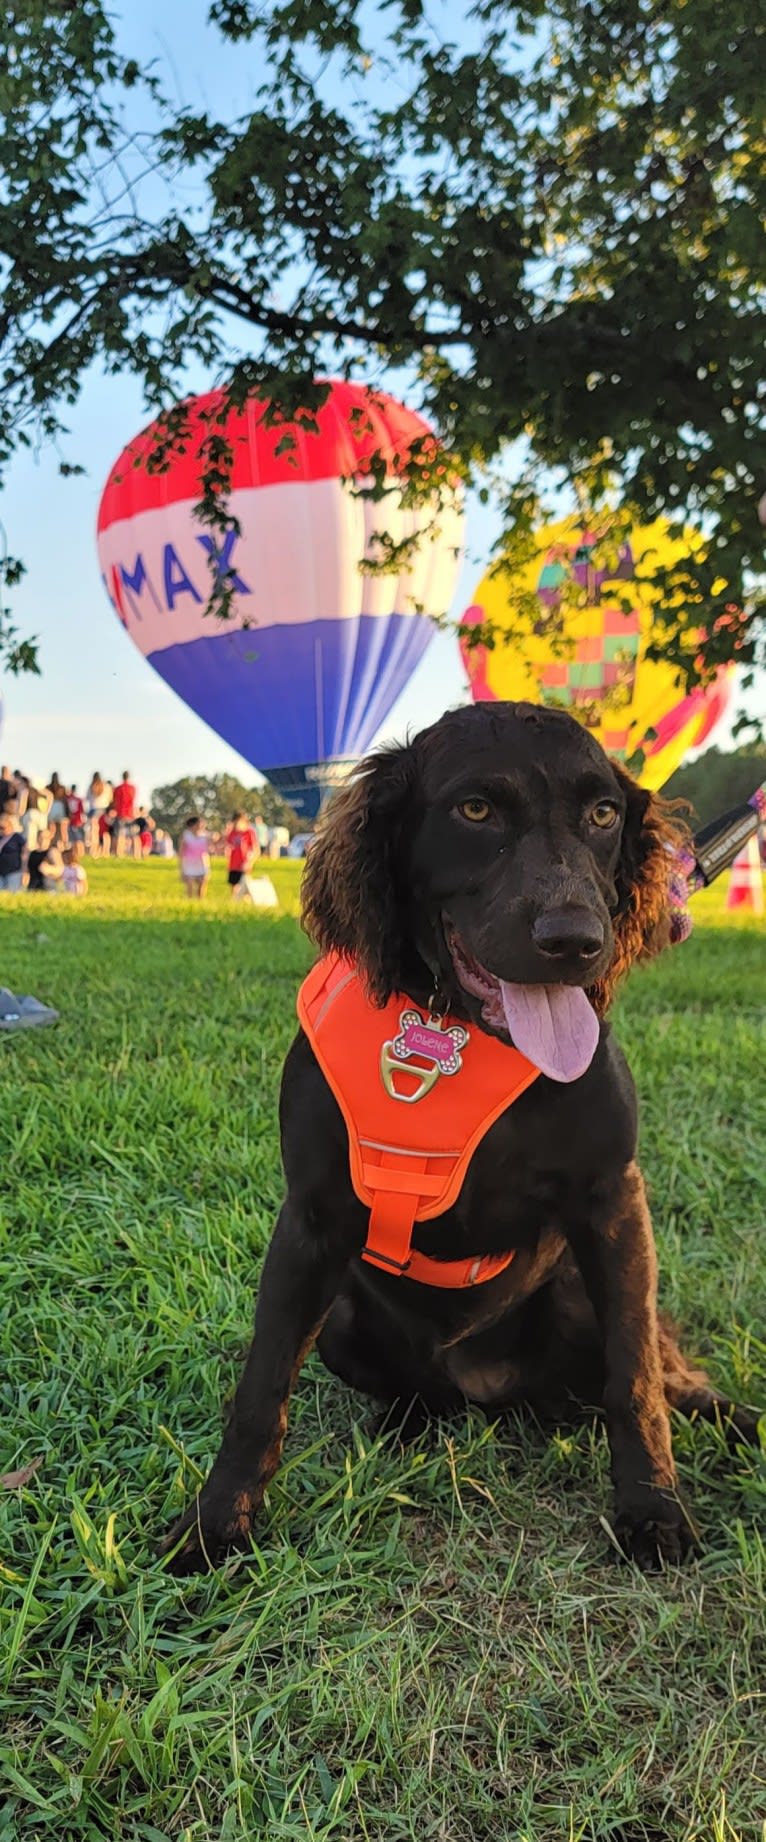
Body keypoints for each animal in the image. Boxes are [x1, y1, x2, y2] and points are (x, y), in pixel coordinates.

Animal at [162, 696, 758, 1576]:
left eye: (604, 814)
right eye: (475, 811)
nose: (575, 941)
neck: (464, 1031)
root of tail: (491, 1389)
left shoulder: (615, 1201)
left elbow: (636, 1380)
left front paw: (652, 1507)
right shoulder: (310, 1222)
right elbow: (262, 1386)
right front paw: (216, 1523)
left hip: (579, 1292)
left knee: (659, 1372)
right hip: (345, 1321)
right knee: (420, 1390)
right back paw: (406, 1425)